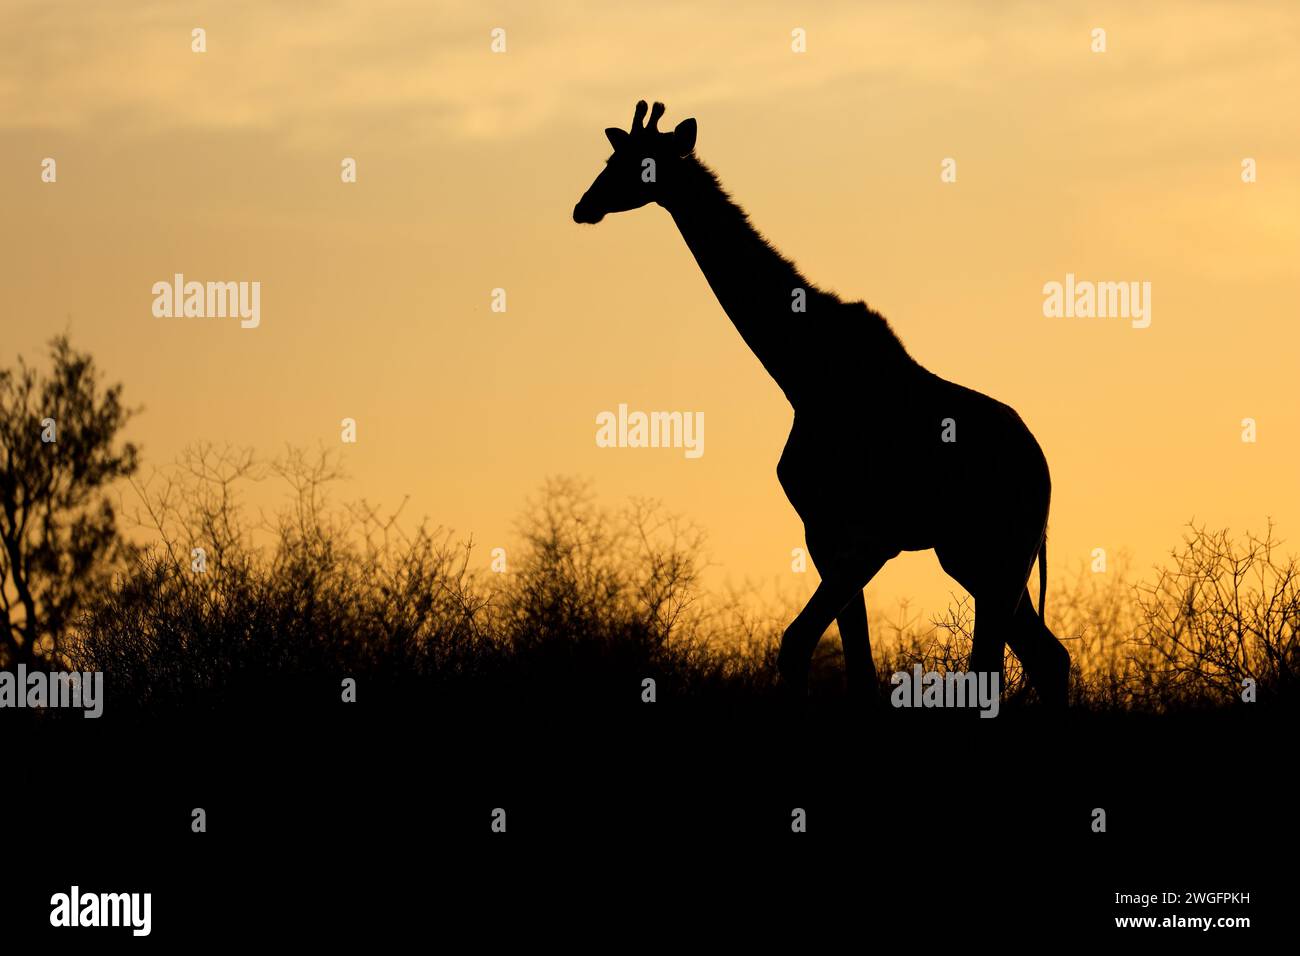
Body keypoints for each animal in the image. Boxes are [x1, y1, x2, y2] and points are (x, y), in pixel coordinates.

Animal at [574, 100, 1071, 707]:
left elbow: (800, 645)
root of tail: (1043, 470)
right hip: (976, 555)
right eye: (611, 158)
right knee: (1044, 657)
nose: (584, 206)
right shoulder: (821, 531)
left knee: (1003, 664)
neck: (803, 373)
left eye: (639, 165)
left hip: (995, 552)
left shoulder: (872, 535)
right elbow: (855, 664)